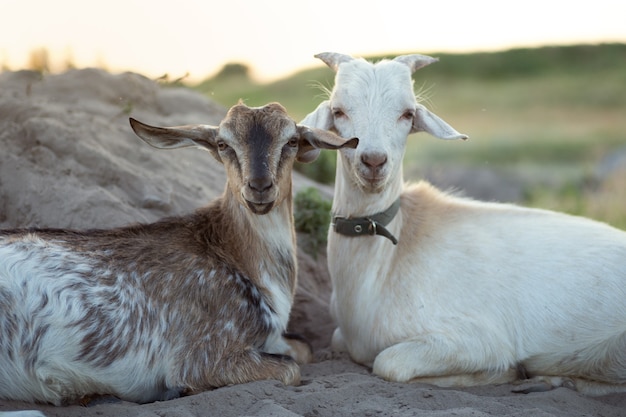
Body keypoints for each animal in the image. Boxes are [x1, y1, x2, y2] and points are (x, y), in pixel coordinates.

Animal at [0, 102, 358, 404]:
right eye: (223, 144)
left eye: (292, 141)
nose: (259, 187)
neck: (236, 257)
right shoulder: (202, 356)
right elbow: (290, 369)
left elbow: (304, 349)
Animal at [302, 52, 624, 394]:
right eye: (338, 111)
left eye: (407, 114)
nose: (373, 161)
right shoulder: (343, 335)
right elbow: (341, 341)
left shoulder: (478, 339)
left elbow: (389, 363)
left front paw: (503, 373)